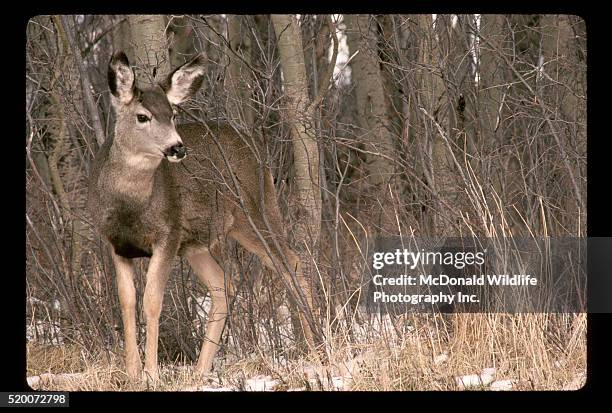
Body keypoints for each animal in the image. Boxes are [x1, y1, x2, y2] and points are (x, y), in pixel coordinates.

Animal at [88, 51, 318, 380]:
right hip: (197, 244)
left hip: (254, 214)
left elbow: (152, 301)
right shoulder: (116, 245)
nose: (177, 147)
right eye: (142, 116)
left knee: (291, 262)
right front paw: (132, 371)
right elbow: (127, 302)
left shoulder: (168, 234)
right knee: (224, 286)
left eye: (172, 113)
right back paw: (199, 370)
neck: (129, 207)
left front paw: (152, 373)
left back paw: (315, 346)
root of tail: (253, 145)